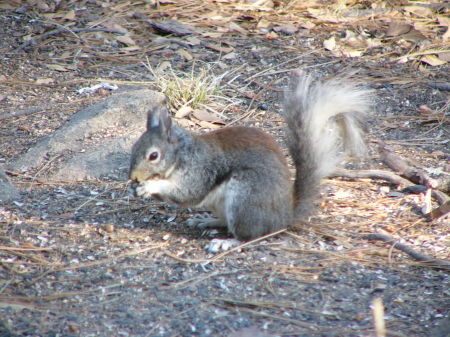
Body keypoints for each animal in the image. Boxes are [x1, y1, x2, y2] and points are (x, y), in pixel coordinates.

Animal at [128, 72, 370, 251]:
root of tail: (284, 217)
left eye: (153, 155)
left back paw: (227, 242)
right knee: (226, 222)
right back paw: (206, 221)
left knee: (251, 235)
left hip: (245, 196)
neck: (182, 154)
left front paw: (150, 186)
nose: (133, 177)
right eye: (133, 147)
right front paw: (137, 188)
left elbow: (187, 193)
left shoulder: (199, 170)